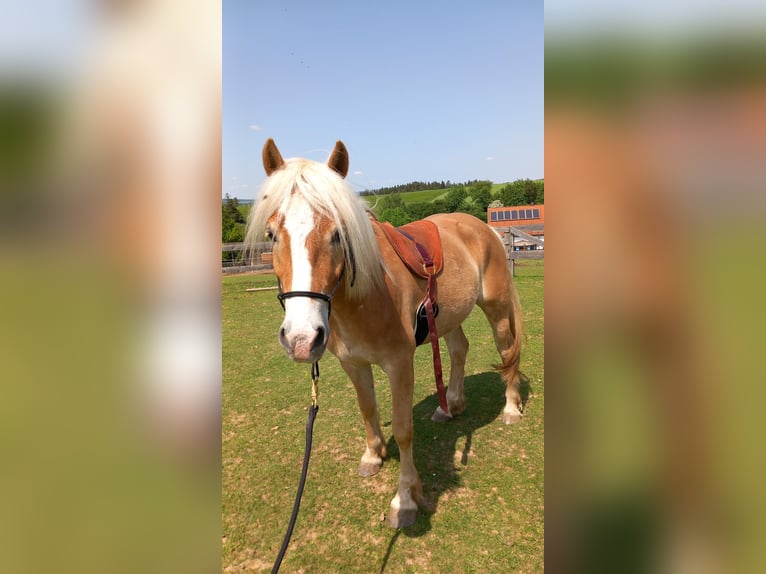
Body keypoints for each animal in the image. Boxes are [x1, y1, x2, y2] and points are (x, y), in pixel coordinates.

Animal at [249, 141, 524, 532]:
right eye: (272, 234)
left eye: (337, 233)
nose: (301, 339)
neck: (368, 295)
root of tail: (481, 228)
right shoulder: (352, 363)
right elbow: (368, 409)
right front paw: (373, 455)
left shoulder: (399, 364)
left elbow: (405, 429)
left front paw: (405, 499)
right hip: (448, 319)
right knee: (459, 351)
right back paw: (451, 405)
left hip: (497, 308)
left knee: (506, 350)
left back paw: (512, 408)